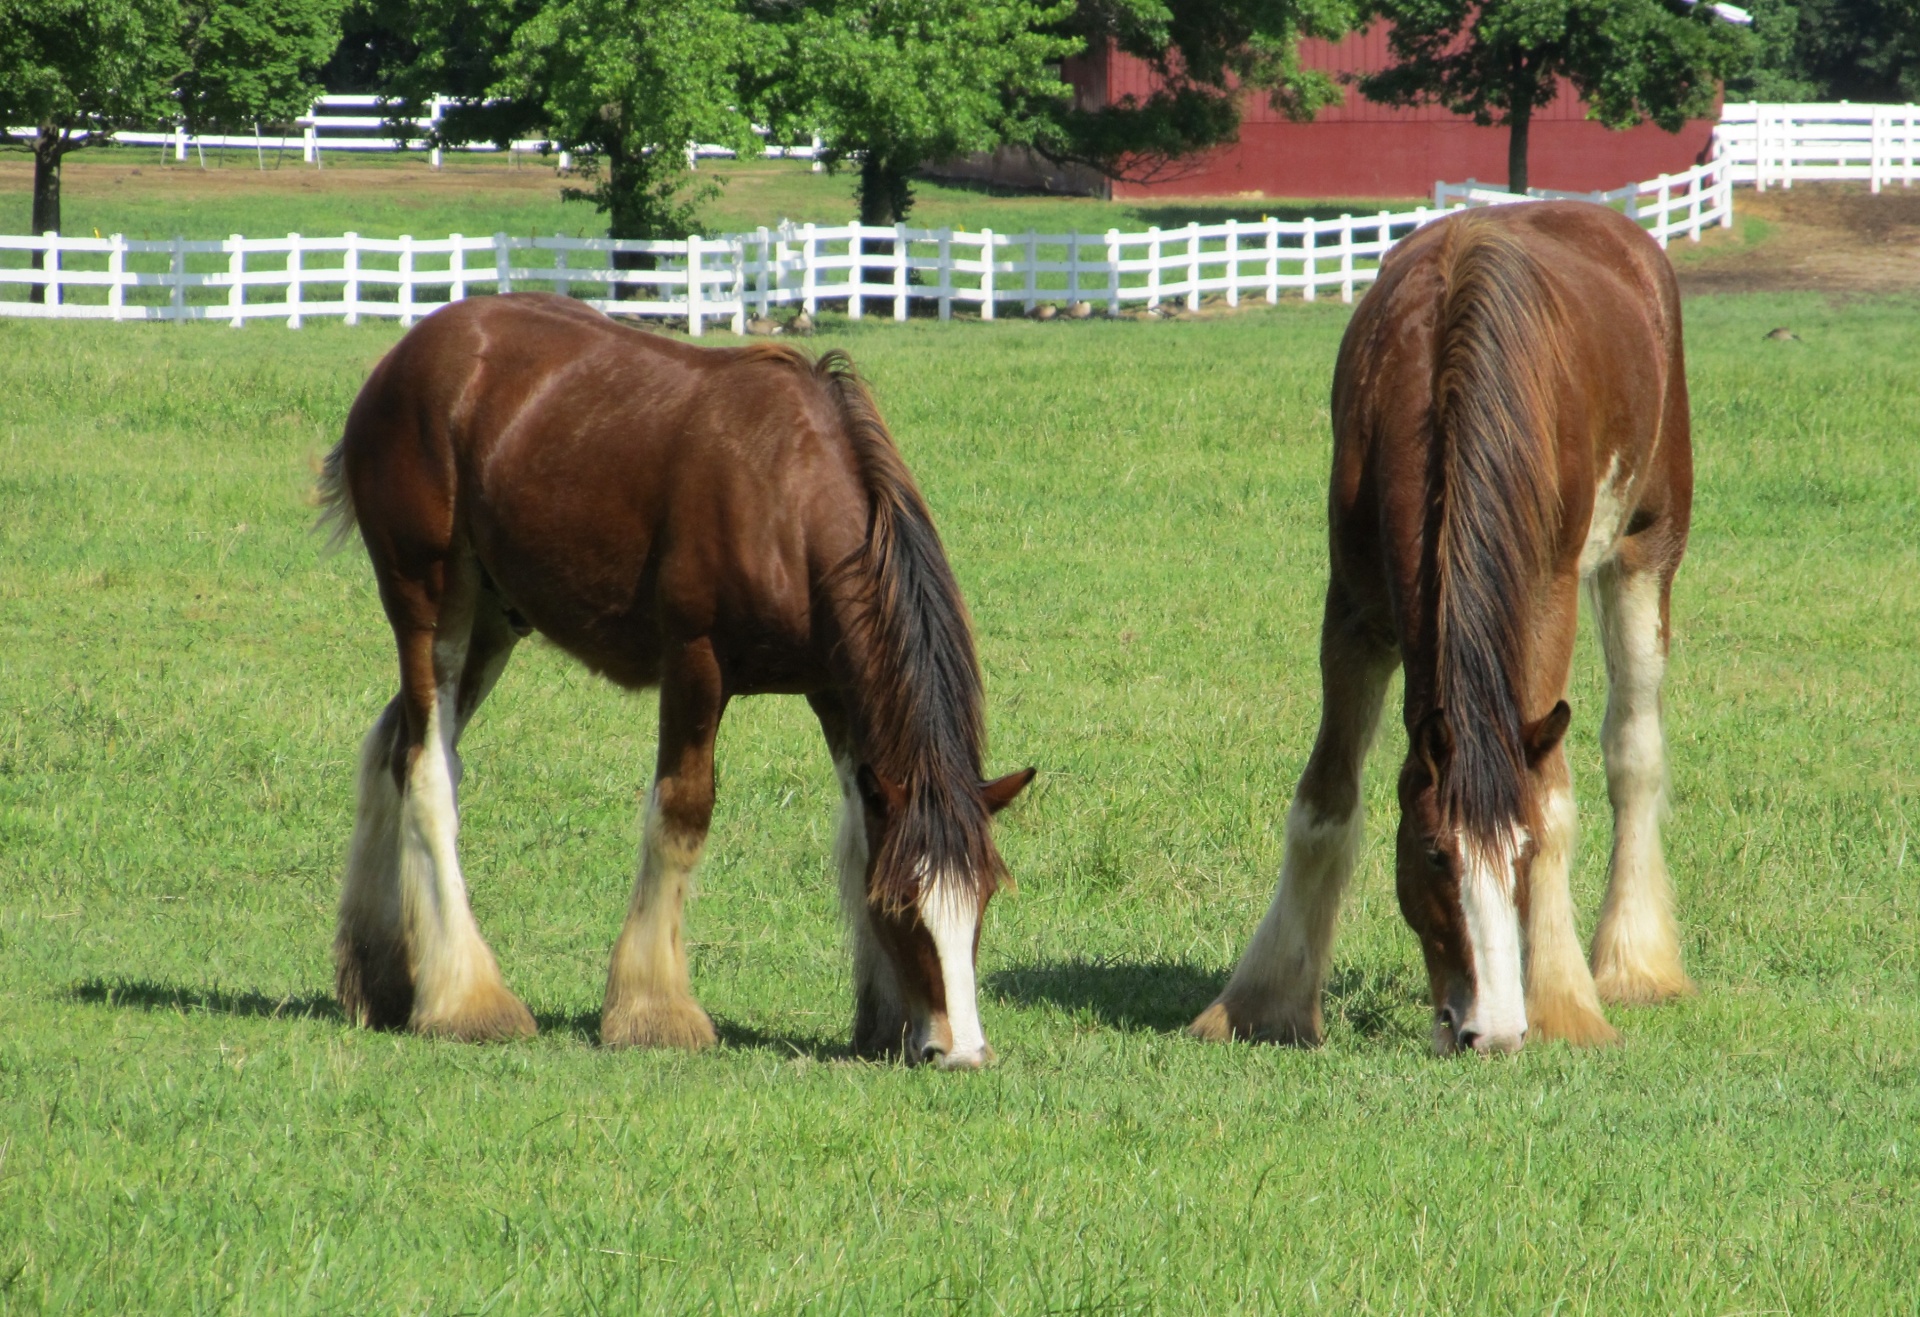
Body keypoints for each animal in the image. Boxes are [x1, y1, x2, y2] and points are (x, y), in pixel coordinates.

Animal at [316, 293, 1036, 1067]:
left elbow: (857, 830)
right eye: (904, 905)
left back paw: (383, 978)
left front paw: (884, 1018)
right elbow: (682, 813)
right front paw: (652, 1011)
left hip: (492, 623)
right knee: (427, 771)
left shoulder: (837, 693)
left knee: (394, 747)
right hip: (429, 605)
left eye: (982, 900)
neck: (786, 499)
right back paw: (466, 999)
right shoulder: (695, 663)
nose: (959, 1050)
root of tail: (404, 357)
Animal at [1190, 201, 1704, 1059]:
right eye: (1434, 852)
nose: (1489, 1030)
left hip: (1644, 554)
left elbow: (1553, 798)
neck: (1440, 372)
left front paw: (1562, 1001)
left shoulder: (1547, 604)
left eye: (1519, 853)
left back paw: (1633, 961)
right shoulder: (1354, 610)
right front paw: (1265, 1000)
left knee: (1633, 753)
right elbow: (1325, 798)